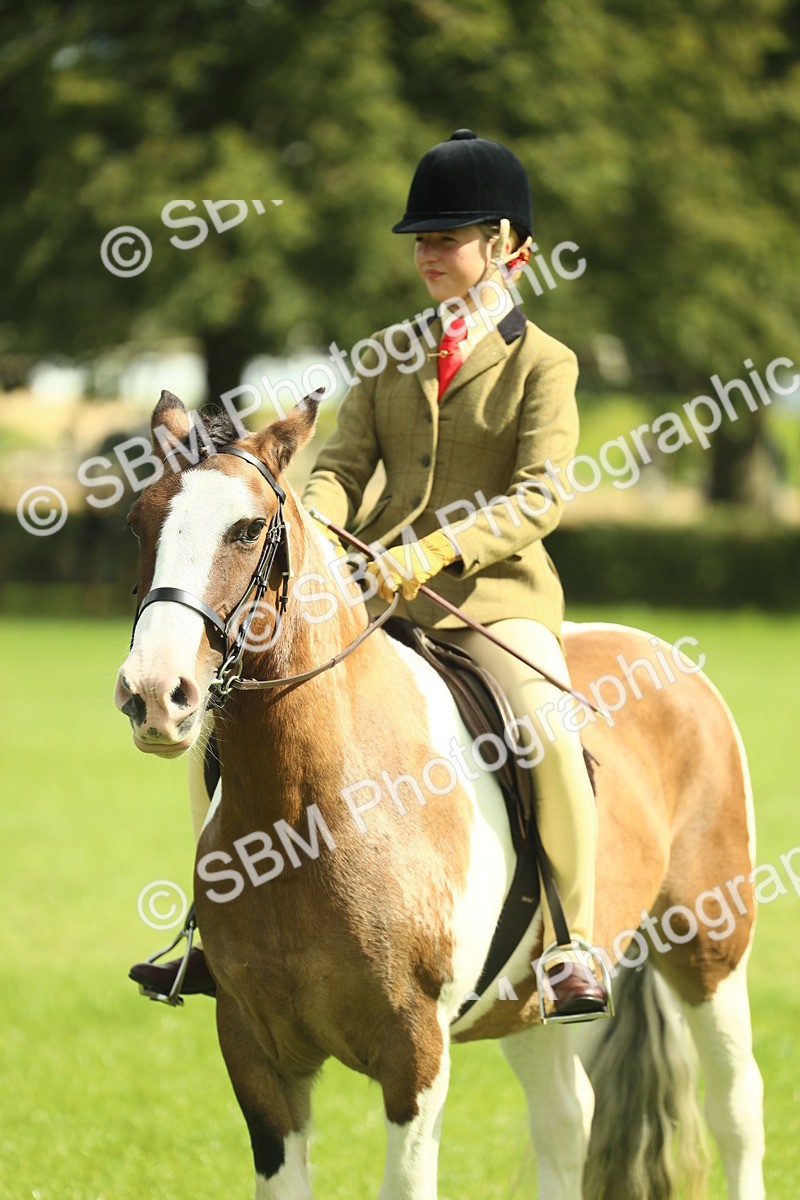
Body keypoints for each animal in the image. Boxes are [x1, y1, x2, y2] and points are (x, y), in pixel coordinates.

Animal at [114, 390, 765, 1200]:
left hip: (710, 947)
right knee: (565, 1118)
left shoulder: (414, 1053)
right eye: (137, 521)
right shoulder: (255, 1054)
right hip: (526, 1001)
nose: (152, 695)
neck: (306, 813)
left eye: (247, 528)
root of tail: (658, 650)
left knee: (735, 1107)